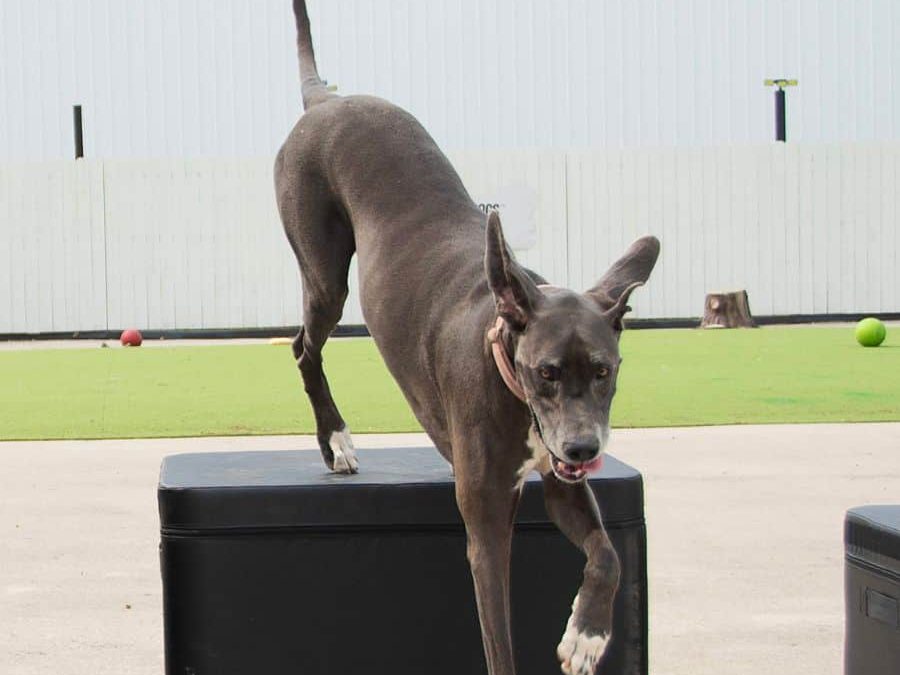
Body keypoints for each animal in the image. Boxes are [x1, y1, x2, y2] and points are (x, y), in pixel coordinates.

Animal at [275, 3, 660, 674]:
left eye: (605, 370)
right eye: (546, 372)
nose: (585, 448)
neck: (501, 360)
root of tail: (326, 100)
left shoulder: (558, 479)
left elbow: (608, 553)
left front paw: (587, 635)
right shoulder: (485, 526)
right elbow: (497, 640)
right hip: (322, 269)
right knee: (304, 345)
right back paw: (335, 439)